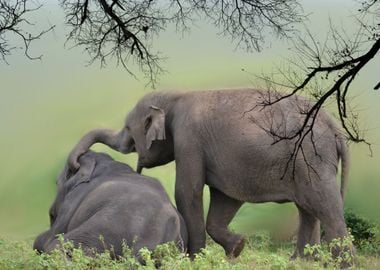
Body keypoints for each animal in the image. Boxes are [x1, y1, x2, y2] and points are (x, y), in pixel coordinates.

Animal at [67, 89, 348, 260]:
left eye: (128, 129)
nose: (76, 165)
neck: (174, 96)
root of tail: (335, 128)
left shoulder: (188, 138)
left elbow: (186, 192)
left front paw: (193, 259)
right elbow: (225, 199)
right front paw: (237, 248)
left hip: (311, 158)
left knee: (324, 207)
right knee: (308, 209)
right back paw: (301, 261)